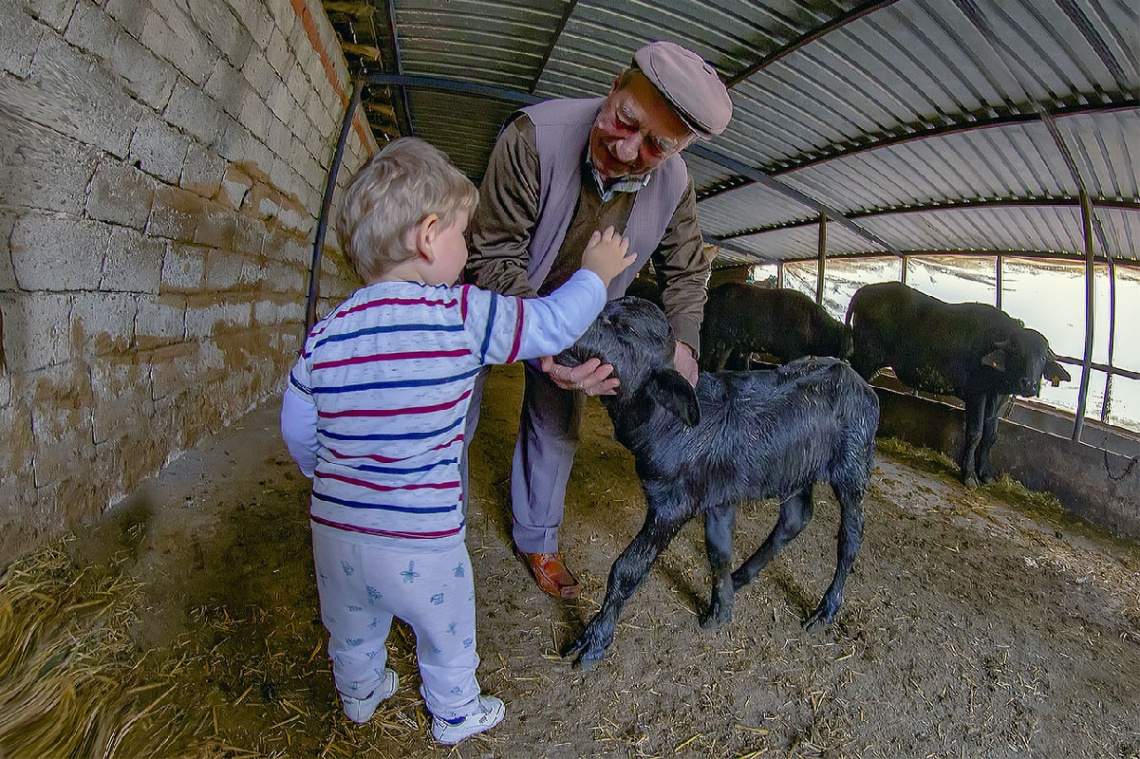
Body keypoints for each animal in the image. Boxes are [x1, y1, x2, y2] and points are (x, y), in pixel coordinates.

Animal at [697, 280, 852, 369]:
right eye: (850, 340)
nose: (850, 353)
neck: (813, 325)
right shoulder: (793, 351)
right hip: (709, 337)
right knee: (704, 360)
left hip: (727, 343)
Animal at [843, 280, 1071, 487]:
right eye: (1017, 353)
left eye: (1042, 358)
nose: (1029, 384)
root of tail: (865, 291)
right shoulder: (976, 394)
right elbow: (975, 433)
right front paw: (969, 475)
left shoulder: (997, 398)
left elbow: (991, 434)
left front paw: (986, 474)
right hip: (867, 357)